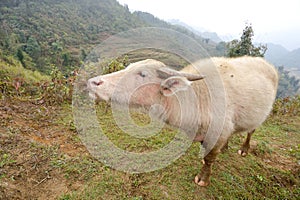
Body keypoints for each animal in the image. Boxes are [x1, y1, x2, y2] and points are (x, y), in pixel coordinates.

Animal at [87, 55, 278, 186]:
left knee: (251, 131)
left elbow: (209, 158)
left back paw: (244, 149)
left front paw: (203, 178)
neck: (197, 98)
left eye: (142, 74)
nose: (93, 82)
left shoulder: (217, 134)